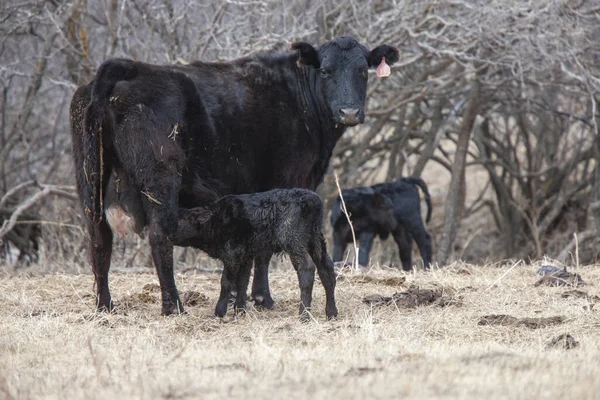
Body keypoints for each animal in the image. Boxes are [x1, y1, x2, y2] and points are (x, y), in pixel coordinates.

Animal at [176, 189, 340, 320]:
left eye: (183, 220)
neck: (216, 220)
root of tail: (312, 200)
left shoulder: (231, 254)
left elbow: (226, 281)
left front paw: (219, 312)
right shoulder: (246, 256)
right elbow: (242, 282)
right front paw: (239, 311)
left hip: (294, 241)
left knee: (307, 268)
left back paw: (304, 315)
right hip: (316, 240)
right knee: (326, 268)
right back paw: (331, 313)